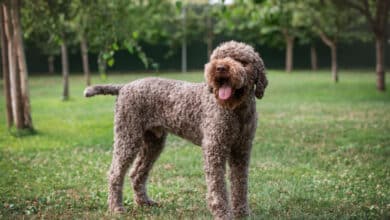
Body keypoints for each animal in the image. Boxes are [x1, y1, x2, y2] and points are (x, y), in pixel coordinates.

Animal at [84, 40, 268, 218]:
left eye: (242, 61)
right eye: (217, 57)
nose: (220, 67)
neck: (237, 111)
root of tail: (124, 86)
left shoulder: (241, 150)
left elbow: (240, 184)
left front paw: (242, 212)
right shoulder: (215, 148)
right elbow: (218, 187)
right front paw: (222, 213)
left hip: (153, 143)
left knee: (137, 173)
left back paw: (144, 202)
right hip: (128, 138)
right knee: (115, 173)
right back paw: (116, 208)